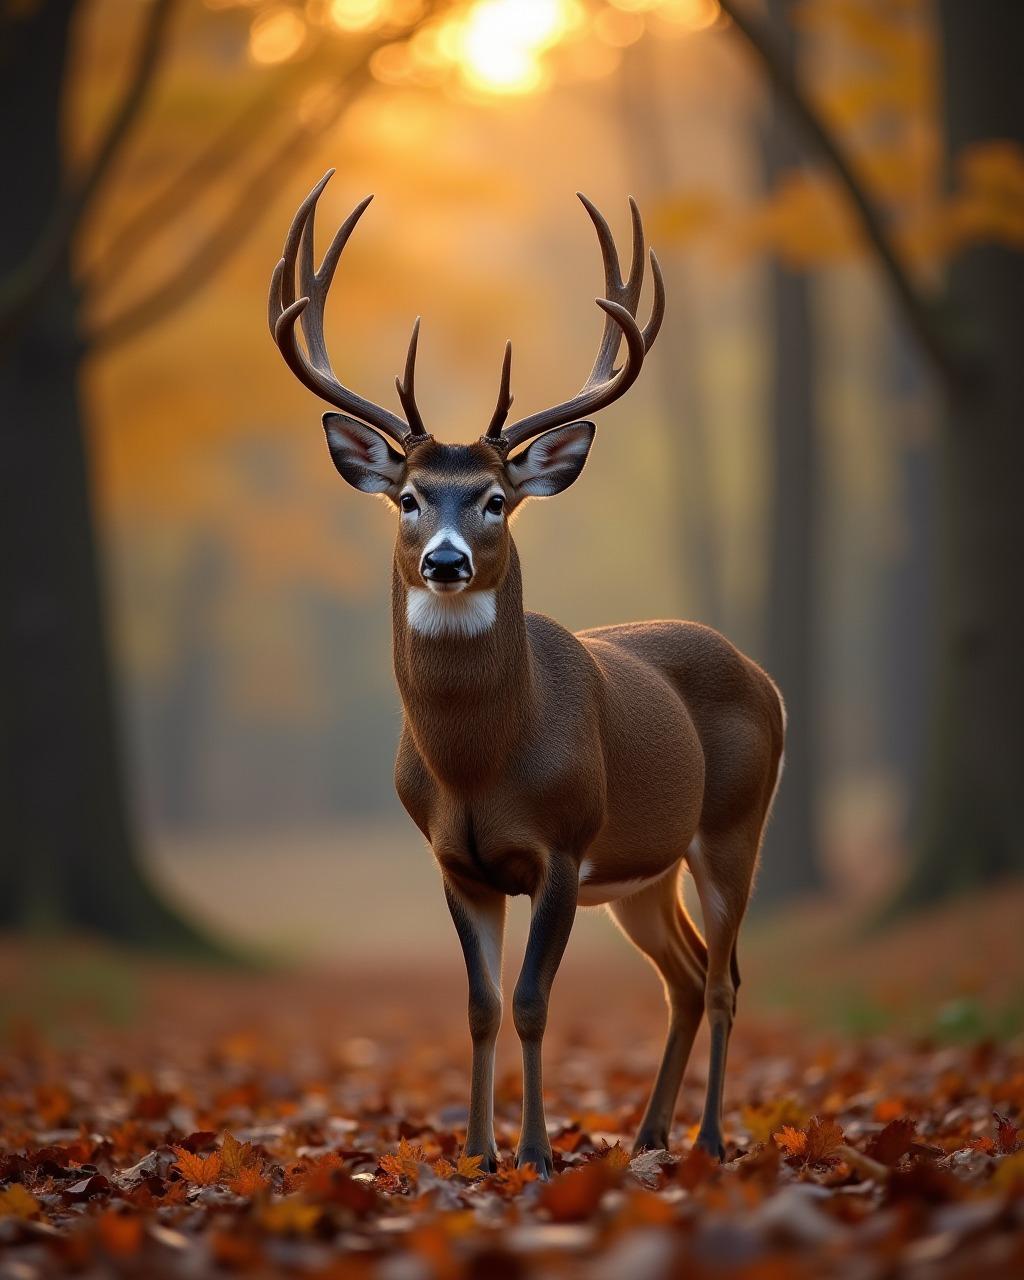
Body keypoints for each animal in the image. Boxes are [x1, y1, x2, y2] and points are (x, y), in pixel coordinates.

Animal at [268, 171, 785, 1177]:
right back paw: (650, 1135)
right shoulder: (454, 859)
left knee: (729, 977)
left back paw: (706, 1137)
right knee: (685, 976)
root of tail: (762, 674)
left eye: (497, 499)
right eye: (408, 496)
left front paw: (539, 1154)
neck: (480, 762)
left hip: (733, 826)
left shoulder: (562, 847)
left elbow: (536, 1003)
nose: (446, 560)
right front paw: (476, 1153)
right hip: (642, 874)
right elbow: (478, 1006)